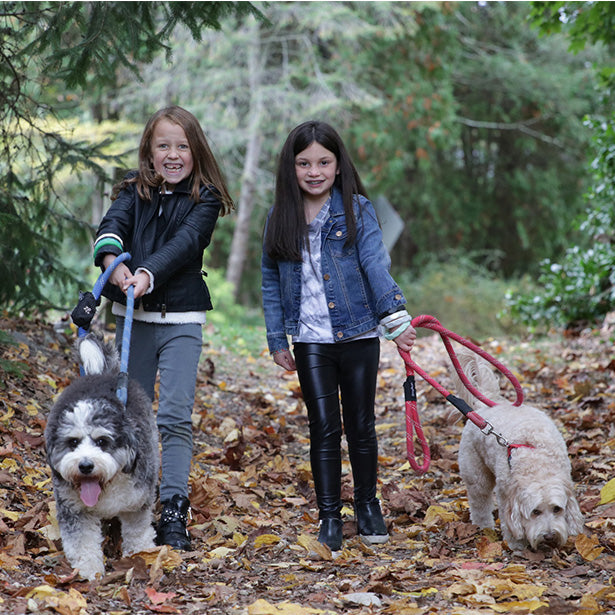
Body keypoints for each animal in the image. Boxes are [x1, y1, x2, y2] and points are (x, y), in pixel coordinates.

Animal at [454, 348, 584, 552]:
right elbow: (509, 521)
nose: (549, 535)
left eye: (557, 509)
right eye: (535, 512)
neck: (538, 463)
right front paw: (516, 543)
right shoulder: (506, 494)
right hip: (476, 474)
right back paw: (484, 526)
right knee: (479, 501)